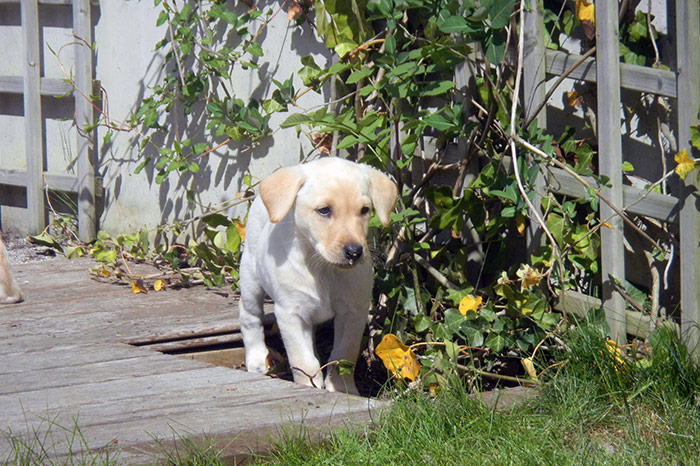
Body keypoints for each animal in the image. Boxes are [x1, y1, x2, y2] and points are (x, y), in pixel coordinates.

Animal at [239, 157, 394, 394]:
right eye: (324, 211)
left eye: (365, 210)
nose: (354, 252)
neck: (324, 270)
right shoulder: (291, 313)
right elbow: (303, 361)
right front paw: (308, 387)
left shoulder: (353, 312)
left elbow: (343, 355)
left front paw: (343, 389)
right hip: (250, 278)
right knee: (250, 316)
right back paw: (256, 358)